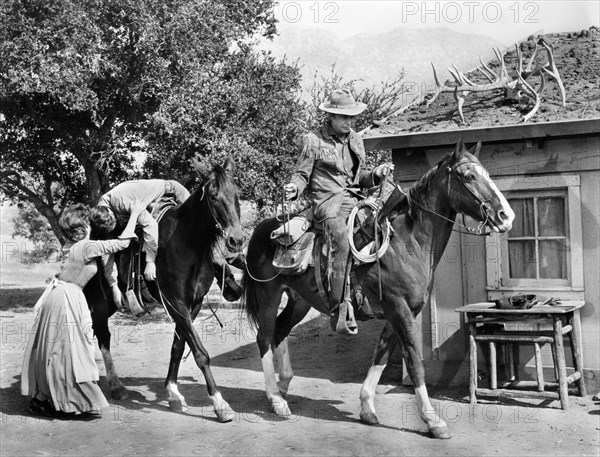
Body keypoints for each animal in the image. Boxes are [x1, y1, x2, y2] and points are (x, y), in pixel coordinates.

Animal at [85, 156, 244, 420]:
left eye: (237, 193)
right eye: (212, 195)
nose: (236, 240)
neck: (187, 244)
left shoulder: (192, 305)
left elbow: (178, 347)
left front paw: (173, 393)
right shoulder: (176, 303)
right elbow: (200, 353)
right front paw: (220, 404)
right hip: (98, 301)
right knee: (103, 336)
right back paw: (116, 386)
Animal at [244, 140, 516, 438]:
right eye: (468, 176)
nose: (506, 216)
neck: (406, 244)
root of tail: (260, 231)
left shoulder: (399, 312)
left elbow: (382, 355)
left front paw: (366, 407)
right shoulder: (400, 309)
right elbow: (414, 362)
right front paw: (433, 420)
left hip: (299, 301)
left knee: (280, 332)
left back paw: (283, 387)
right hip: (268, 296)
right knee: (264, 337)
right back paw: (275, 399)